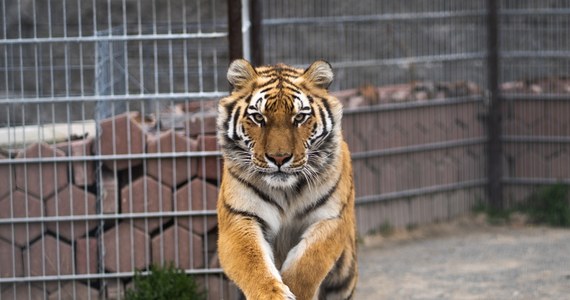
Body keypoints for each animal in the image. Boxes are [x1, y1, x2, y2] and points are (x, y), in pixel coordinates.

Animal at [214, 59, 356, 300]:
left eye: (299, 117)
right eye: (258, 117)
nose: (279, 157)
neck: (287, 190)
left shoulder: (331, 219)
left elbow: (307, 265)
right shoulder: (240, 217)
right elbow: (254, 265)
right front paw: (272, 294)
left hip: (345, 276)